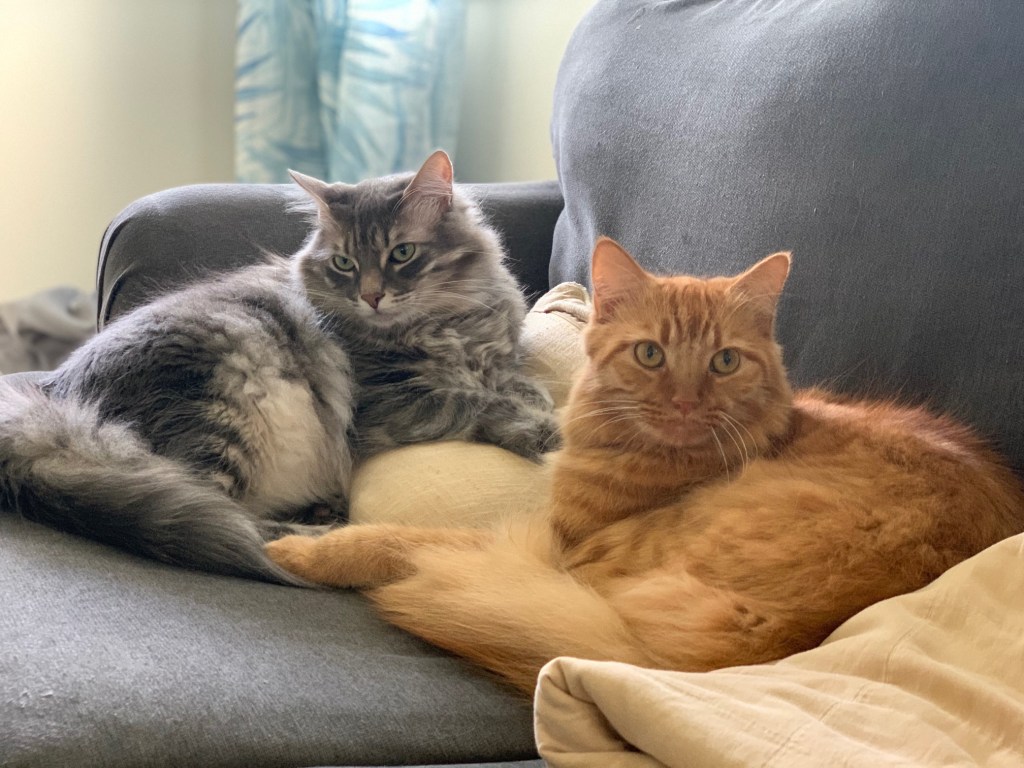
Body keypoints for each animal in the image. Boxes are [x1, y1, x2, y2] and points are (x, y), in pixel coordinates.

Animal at [0, 151, 557, 585]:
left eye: (402, 253)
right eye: (344, 264)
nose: (371, 297)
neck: (452, 323)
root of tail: (56, 405)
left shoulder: (500, 364)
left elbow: (520, 387)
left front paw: (545, 408)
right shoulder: (390, 400)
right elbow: (475, 403)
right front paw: (547, 434)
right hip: (224, 407)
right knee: (242, 524)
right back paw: (323, 533)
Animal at [265, 236, 1024, 693]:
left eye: (724, 361)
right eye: (650, 353)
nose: (685, 401)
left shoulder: (563, 544)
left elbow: (396, 539)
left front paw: (306, 549)